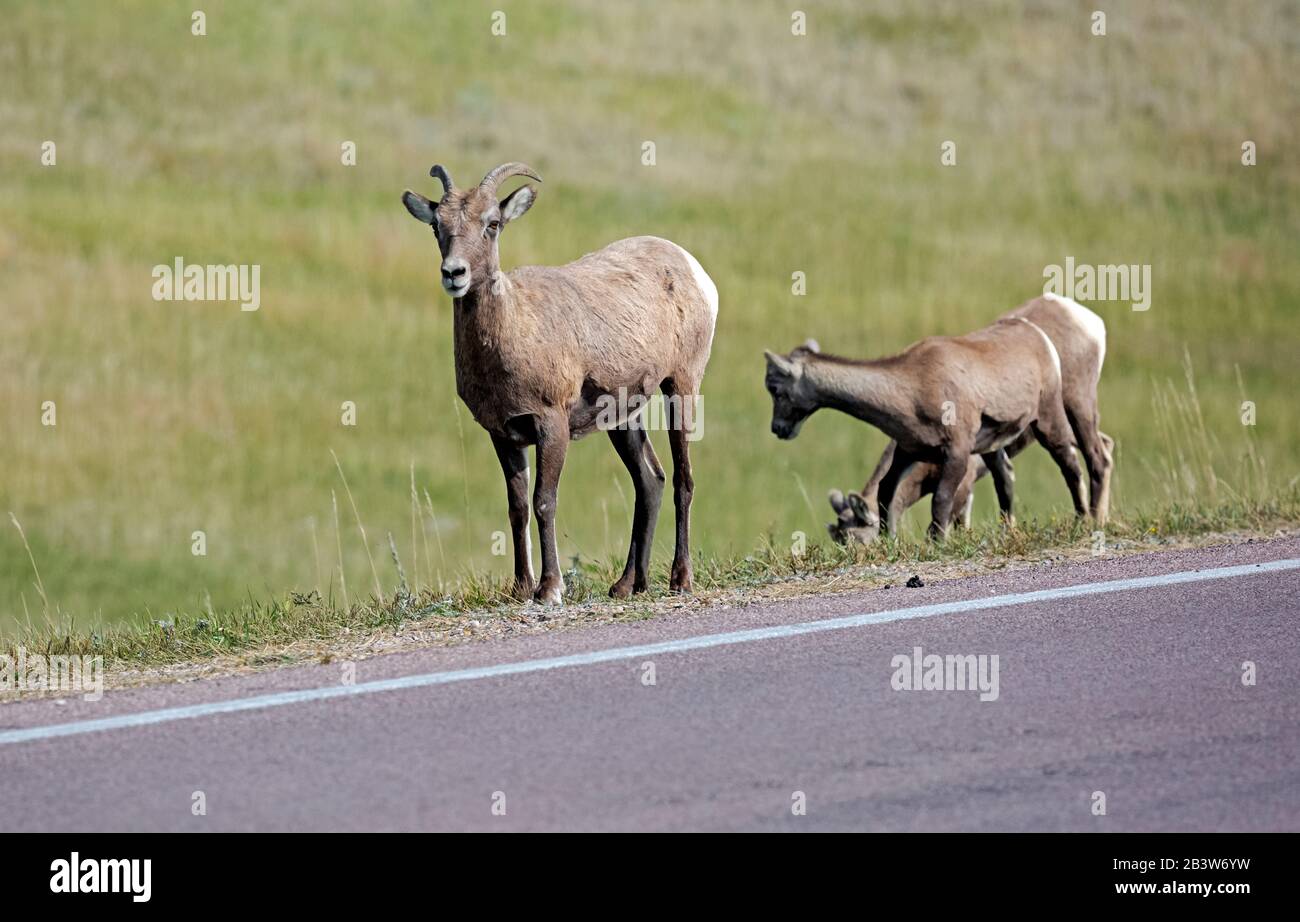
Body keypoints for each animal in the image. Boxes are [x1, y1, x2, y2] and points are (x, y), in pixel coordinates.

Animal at [400, 161, 717, 603]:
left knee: (682, 480)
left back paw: (680, 579)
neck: (515, 330)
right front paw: (521, 587)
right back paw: (627, 585)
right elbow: (517, 507)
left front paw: (549, 589)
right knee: (650, 481)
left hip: (681, 388)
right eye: (437, 226)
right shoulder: (503, 434)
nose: (454, 274)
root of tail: (694, 270)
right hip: (623, 418)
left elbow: (543, 501)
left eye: (492, 223)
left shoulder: (552, 426)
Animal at [764, 295, 1112, 538]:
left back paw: (1086, 520)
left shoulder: (957, 454)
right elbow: (886, 493)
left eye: (776, 388)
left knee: (1080, 462)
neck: (909, 389)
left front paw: (937, 544)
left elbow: (941, 504)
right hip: (999, 445)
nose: (778, 428)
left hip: (1057, 413)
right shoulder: (907, 452)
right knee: (1009, 481)